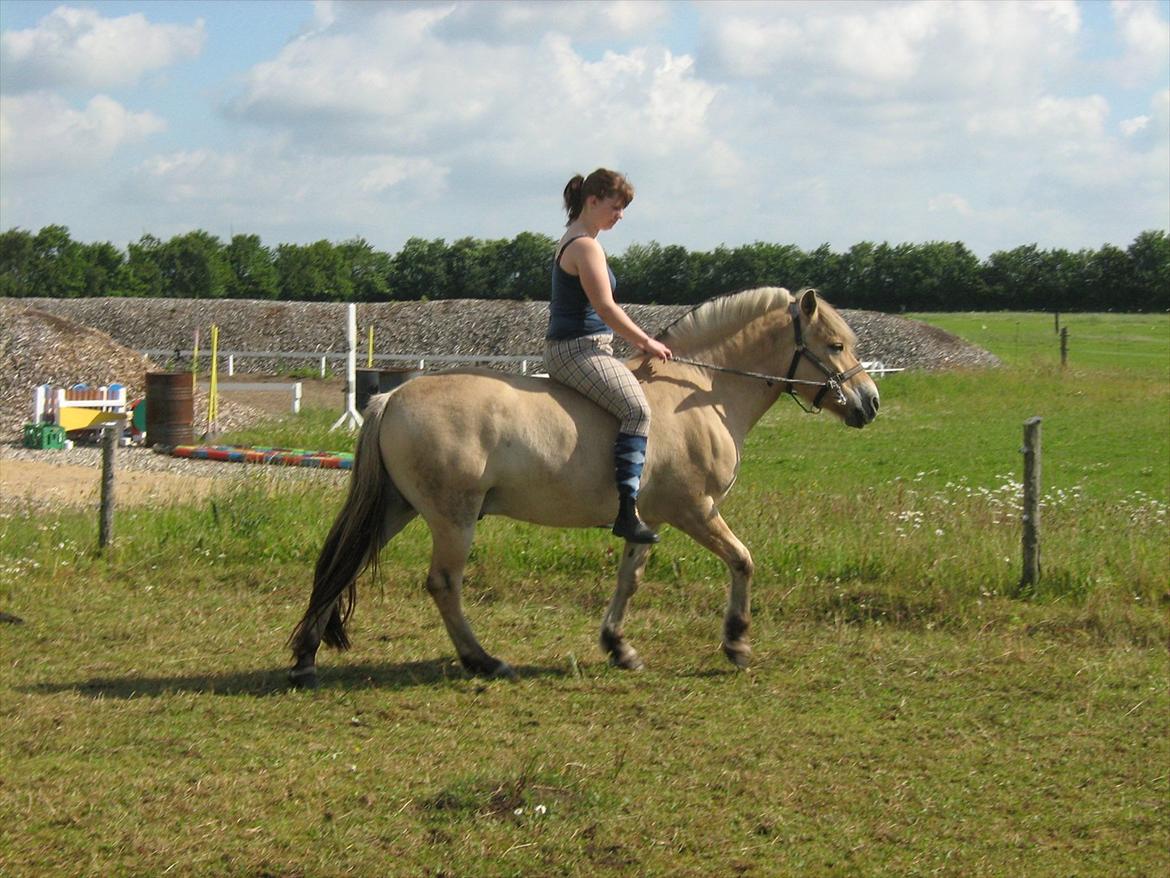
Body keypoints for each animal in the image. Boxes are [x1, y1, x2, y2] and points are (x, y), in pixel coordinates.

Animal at [290, 289, 879, 688]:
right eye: (835, 344)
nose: (870, 402)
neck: (702, 390)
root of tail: (391, 396)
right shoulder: (695, 510)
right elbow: (742, 560)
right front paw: (736, 641)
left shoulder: (649, 520)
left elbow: (629, 581)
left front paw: (619, 647)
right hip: (451, 518)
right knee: (442, 584)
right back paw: (483, 660)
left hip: (399, 507)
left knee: (345, 561)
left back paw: (305, 657)